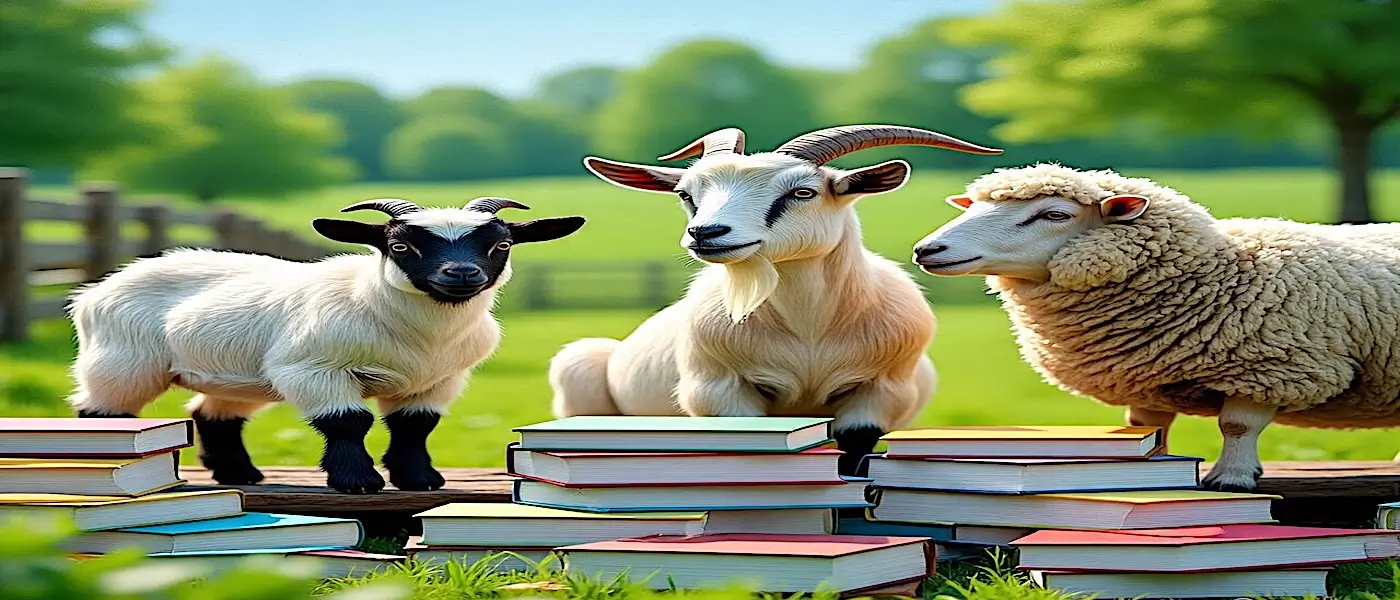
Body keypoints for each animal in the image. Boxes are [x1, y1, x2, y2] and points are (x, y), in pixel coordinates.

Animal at [67, 197, 585, 494]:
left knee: (213, 413)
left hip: (236, 375)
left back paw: (239, 475)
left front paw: (419, 480)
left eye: (502, 245)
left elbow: (414, 428)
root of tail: (92, 291)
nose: (461, 274)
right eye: (400, 246)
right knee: (101, 411)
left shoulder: (437, 380)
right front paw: (358, 483)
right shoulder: (312, 369)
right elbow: (347, 422)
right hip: (121, 361)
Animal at [550, 125, 1003, 475]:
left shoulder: (881, 393)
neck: (809, 334)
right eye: (686, 194)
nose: (705, 233)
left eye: (803, 192)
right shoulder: (719, 391)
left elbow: (854, 456)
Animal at [910, 163, 1400, 491]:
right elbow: (1148, 430)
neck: (1219, 273)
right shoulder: (1145, 381)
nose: (926, 249)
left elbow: (1237, 426)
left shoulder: (1273, 368)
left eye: (1054, 214)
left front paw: (1231, 477)